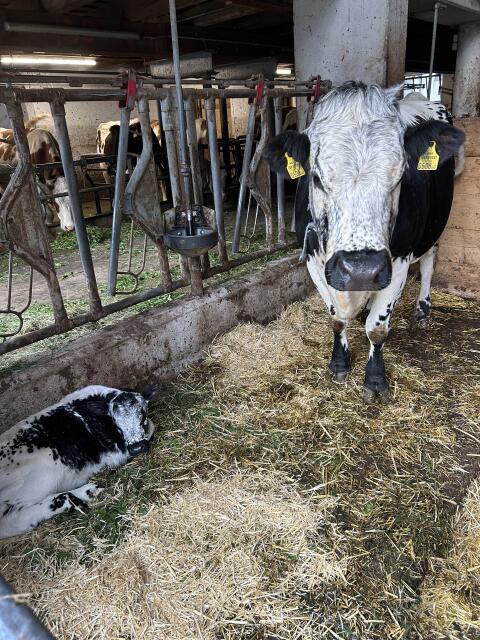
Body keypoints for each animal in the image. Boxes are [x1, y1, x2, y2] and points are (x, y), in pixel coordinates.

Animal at [0, 385, 156, 539]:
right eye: (116, 423)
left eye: (142, 415)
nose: (136, 447)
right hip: (40, 479)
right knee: (10, 520)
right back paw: (77, 496)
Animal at [263, 82, 464, 403]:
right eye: (316, 178)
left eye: (400, 176)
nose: (361, 270)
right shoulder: (314, 261)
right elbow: (336, 319)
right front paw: (339, 363)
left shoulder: (398, 261)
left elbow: (377, 329)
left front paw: (375, 379)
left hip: (436, 224)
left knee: (429, 262)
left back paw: (422, 309)